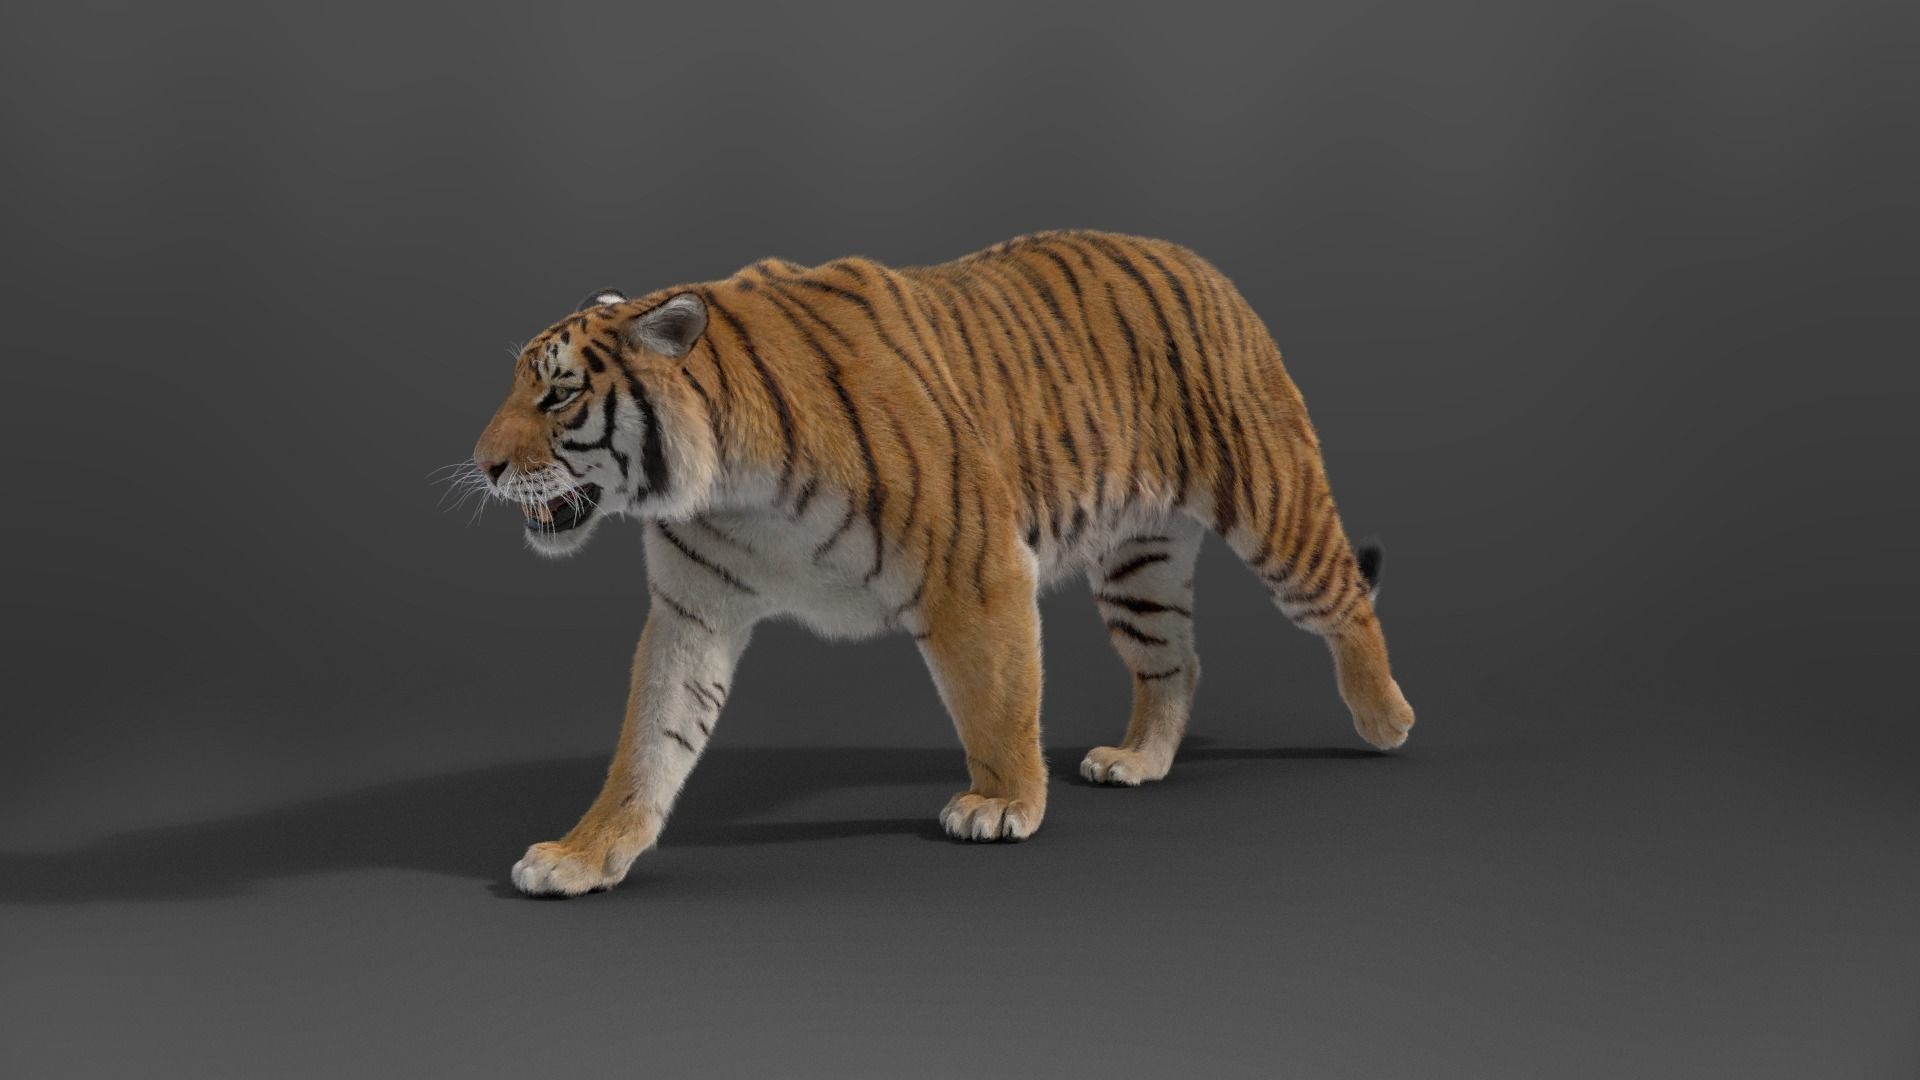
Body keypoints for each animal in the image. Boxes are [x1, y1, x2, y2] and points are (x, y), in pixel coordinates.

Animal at [468, 229, 1416, 897]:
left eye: (558, 395)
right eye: (518, 386)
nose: (483, 465)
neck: (725, 488)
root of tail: (1199, 261)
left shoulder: (977, 570)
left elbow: (997, 704)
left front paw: (1003, 804)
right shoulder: (694, 613)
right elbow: (648, 745)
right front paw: (583, 856)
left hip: (1272, 502)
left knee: (1344, 599)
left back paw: (1386, 720)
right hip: (1138, 565)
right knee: (1173, 664)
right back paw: (1137, 760)